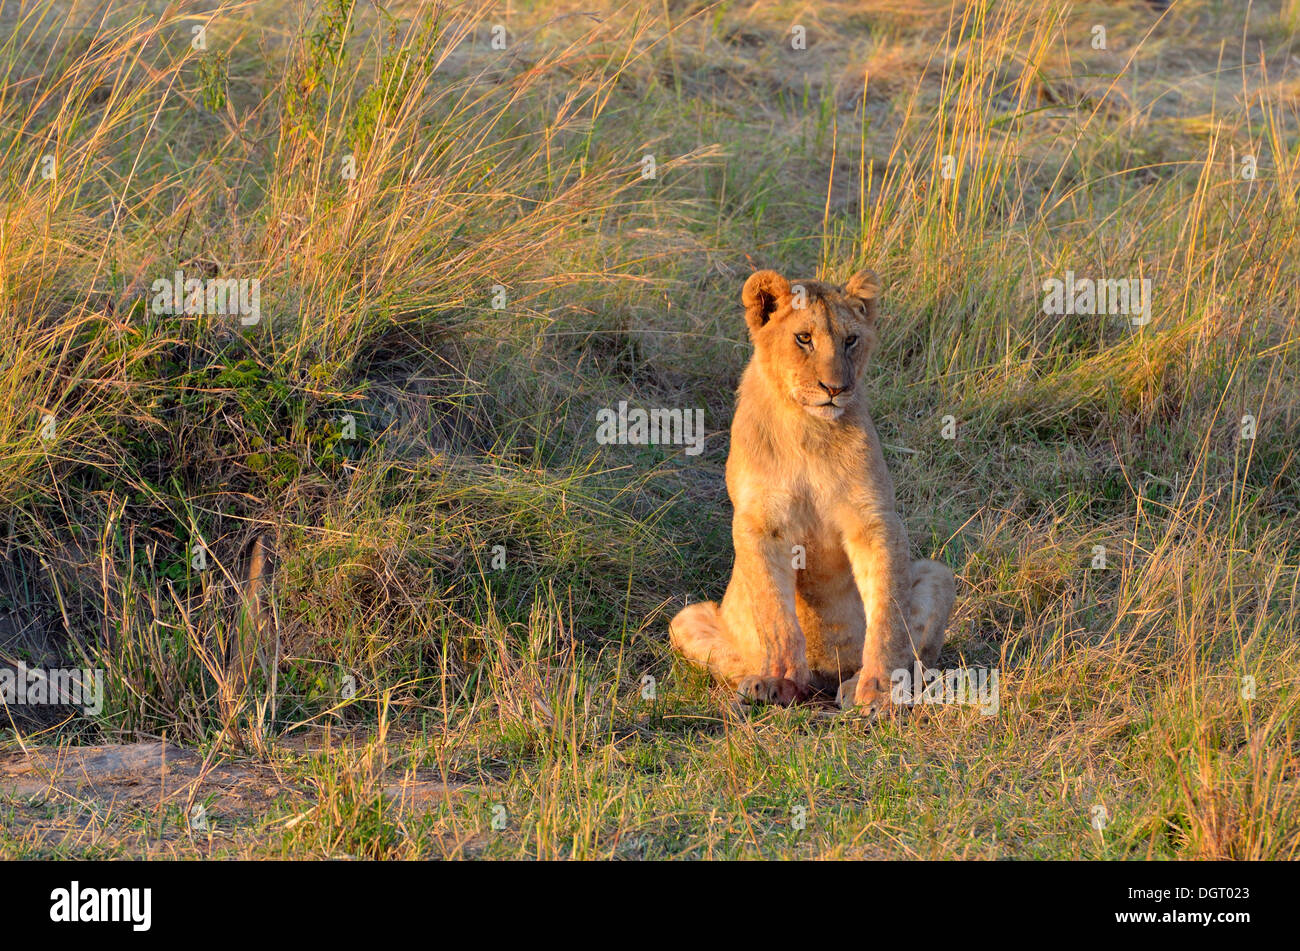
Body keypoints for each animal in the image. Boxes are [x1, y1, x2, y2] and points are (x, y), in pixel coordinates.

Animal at [669, 268, 955, 712]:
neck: (808, 429)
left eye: (851, 340)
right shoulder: (761, 523)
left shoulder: (874, 521)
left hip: (937, 574)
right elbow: (775, 612)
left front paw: (876, 691)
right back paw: (758, 681)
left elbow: (887, 614)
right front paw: (778, 680)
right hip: (686, 618)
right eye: (804, 338)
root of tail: (824, 678)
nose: (834, 388)